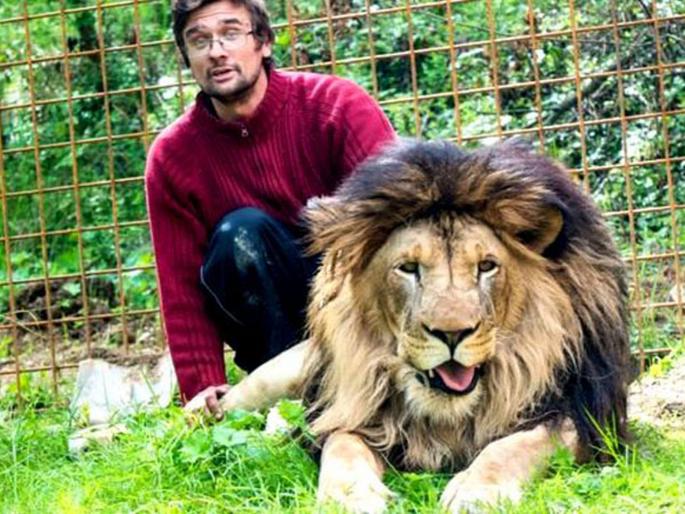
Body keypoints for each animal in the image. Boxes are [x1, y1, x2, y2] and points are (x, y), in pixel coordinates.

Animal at [215, 139, 631, 512]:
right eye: (409, 268)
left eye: (486, 266)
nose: (452, 333)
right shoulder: (354, 409)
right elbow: (341, 445)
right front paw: (352, 497)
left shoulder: (584, 417)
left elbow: (515, 446)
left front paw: (476, 493)